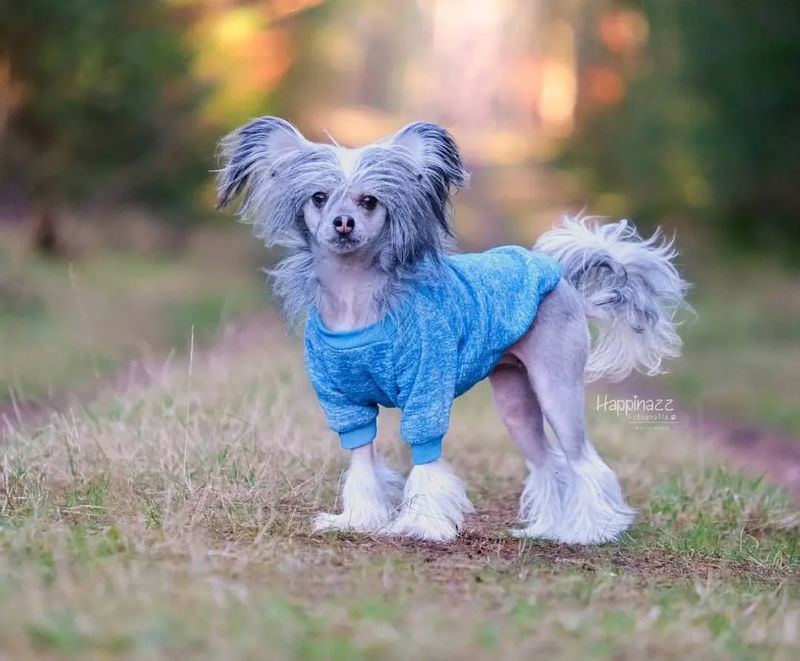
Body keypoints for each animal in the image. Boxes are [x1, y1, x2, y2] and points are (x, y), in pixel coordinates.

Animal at [216, 117, 692, 540]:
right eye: (318, 197)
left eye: (369, 201)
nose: (343, 223)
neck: (356, 301)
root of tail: (560, 277)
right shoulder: (344, 403)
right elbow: (362, 464)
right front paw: (358, 520)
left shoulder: (426, 388)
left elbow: (427, 461)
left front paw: (423, 526)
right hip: (515, 399)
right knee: (547, 462)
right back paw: (548, 530)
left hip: (557, 386)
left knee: (583, 460)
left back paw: (589, 532)